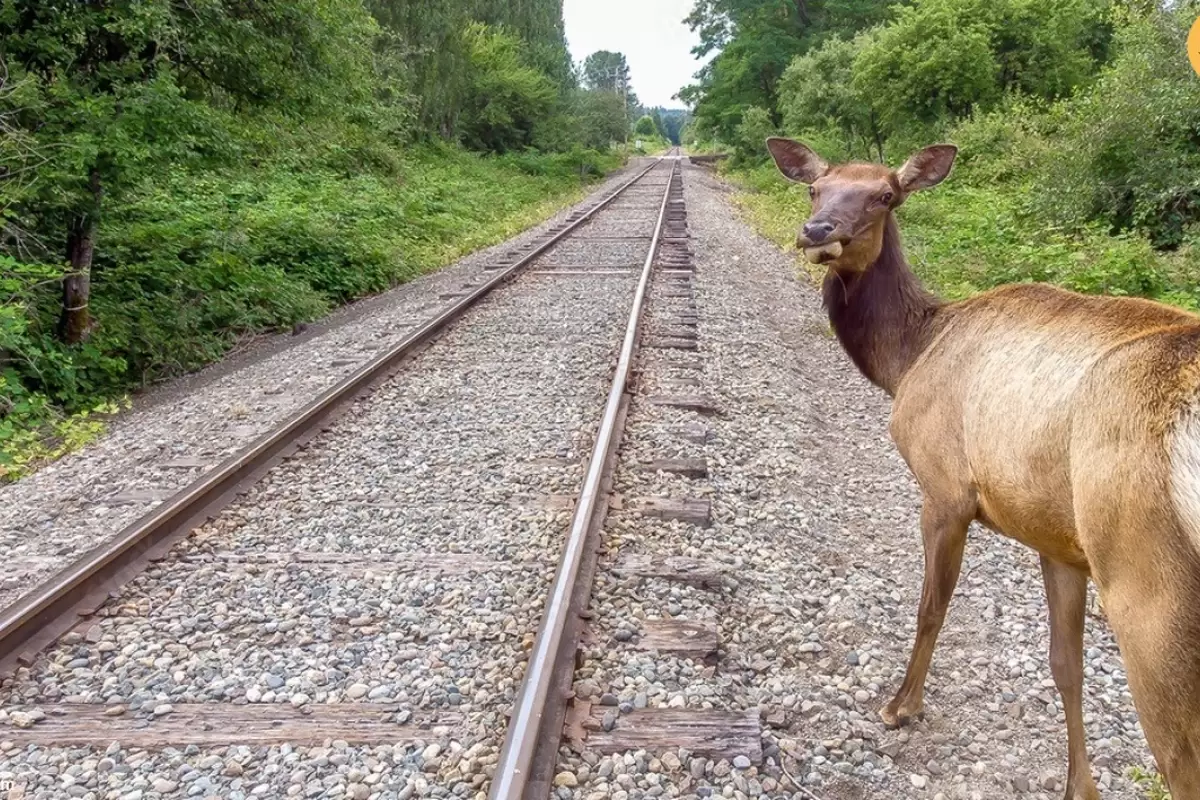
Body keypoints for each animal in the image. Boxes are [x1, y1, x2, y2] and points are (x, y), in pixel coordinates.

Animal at [768, 139, 1200, 800]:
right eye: (816, 188)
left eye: (886, 194)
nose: (819, 232)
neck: (908, 356)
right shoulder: (1055, 535)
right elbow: (1065, 664)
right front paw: (1078, 786)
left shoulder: (945, 490)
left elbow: (930, 607)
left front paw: (901, 705)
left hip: (1148, 584)